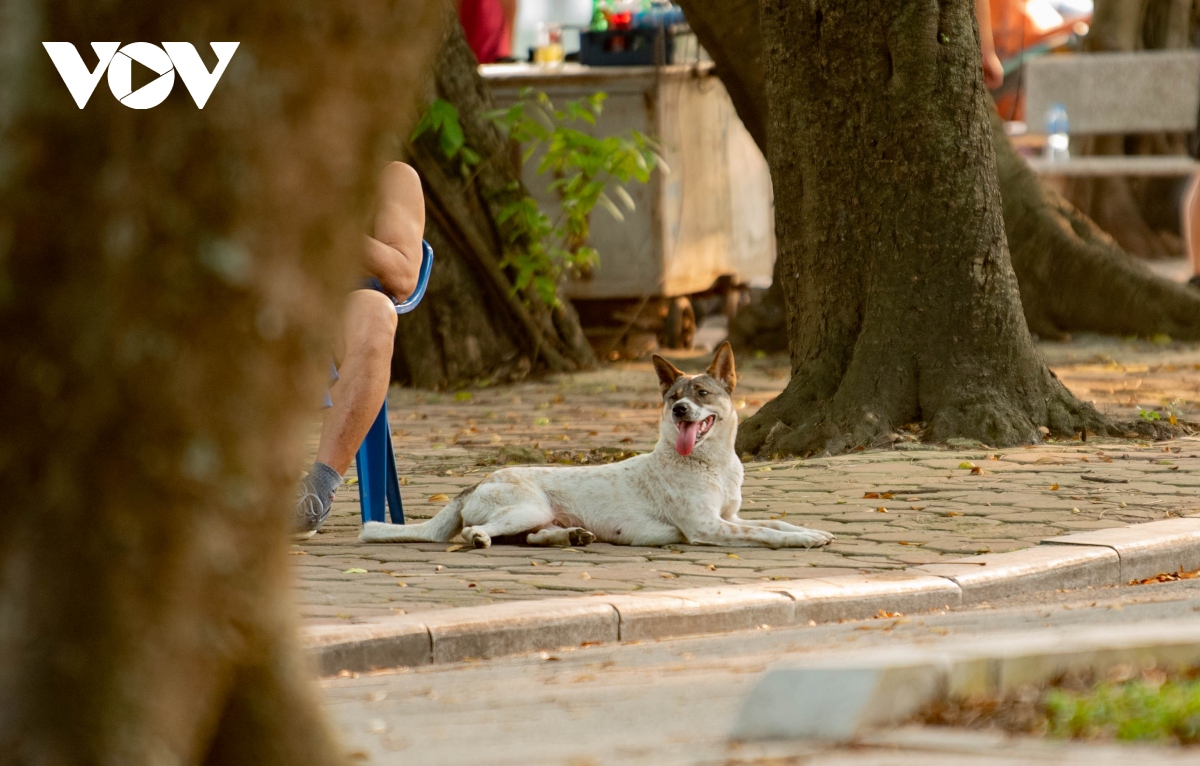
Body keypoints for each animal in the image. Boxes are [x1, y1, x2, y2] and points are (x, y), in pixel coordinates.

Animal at [357, 343, 835, 552]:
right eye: (672, 397)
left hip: (537, 516)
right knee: (479, 531)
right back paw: (480, 539)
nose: (680, 410)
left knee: (531, 538)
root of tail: (475, 483)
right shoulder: (708, 527)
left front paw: (810, 530)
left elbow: (774, 520)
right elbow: (765, 532)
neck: (711, 465)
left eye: (701, 393)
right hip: (526, 507)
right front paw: (803, 540)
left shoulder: (728, 517)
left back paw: (571, 536)